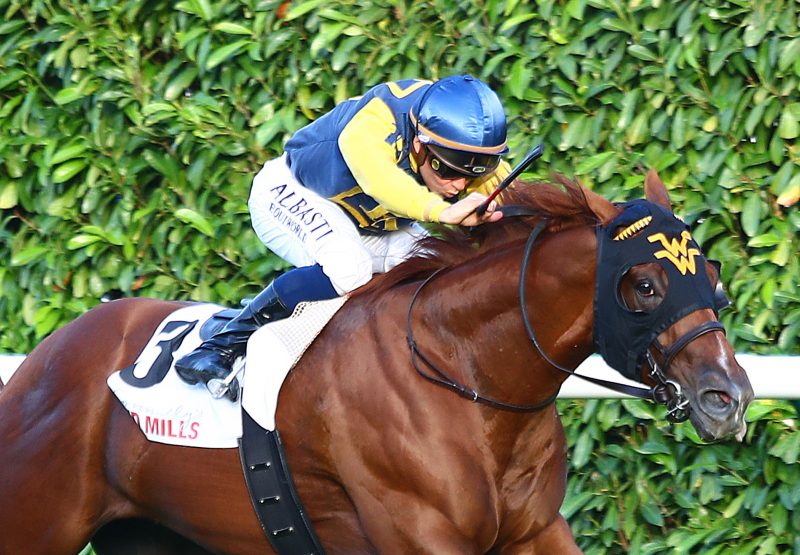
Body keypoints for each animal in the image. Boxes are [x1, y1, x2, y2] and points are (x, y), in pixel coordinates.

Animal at [0, 172, 752, 552]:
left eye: (710, 273)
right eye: (646, 285)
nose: (729, 396)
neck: (465, 378)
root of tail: (45, 356)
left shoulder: (535, 531)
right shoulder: (422, 538)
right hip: (36, 522)